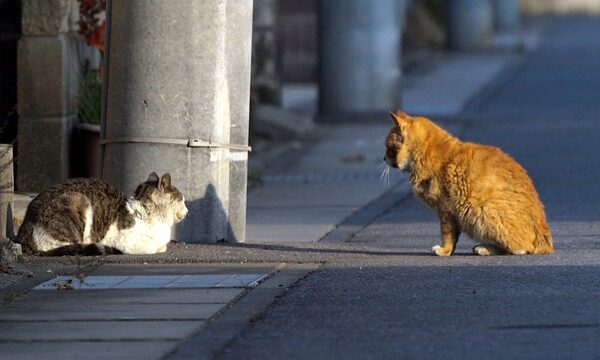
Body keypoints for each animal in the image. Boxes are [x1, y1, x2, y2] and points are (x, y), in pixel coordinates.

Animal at [17, 172, 188, 255]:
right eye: (182, 199)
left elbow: (162, 247)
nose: (188, 210)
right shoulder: (123, 239)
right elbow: (152, 247)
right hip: (77, 200)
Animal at [384, 111, 552, 255]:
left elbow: (448, 234)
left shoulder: (445, 209)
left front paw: (444, 251)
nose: (383, 158)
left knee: (522, 247)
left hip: (483, 210)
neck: (425, 153)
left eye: (388, 147)